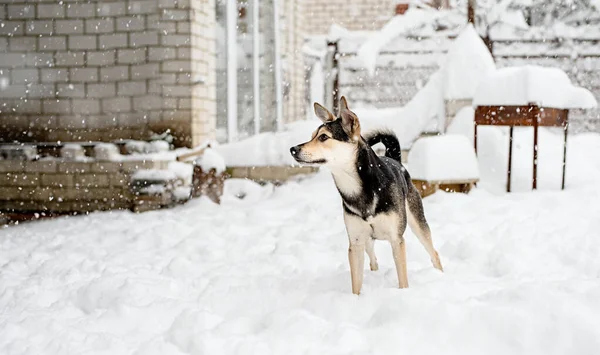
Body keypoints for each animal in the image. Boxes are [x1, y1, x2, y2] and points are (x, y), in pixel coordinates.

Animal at [290, 96, 446, 294]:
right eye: (311, 136)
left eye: (323, 137)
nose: (293, 149)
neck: (359, 189)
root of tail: (395, 159)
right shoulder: (355, 242)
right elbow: (356, 283)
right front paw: (356, 299)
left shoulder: (396, 240)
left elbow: (403, 278)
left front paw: (403, 294)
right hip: (367, 239)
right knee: (373, 258)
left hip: (417, 222)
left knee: (434, 252)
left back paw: (440, 275)